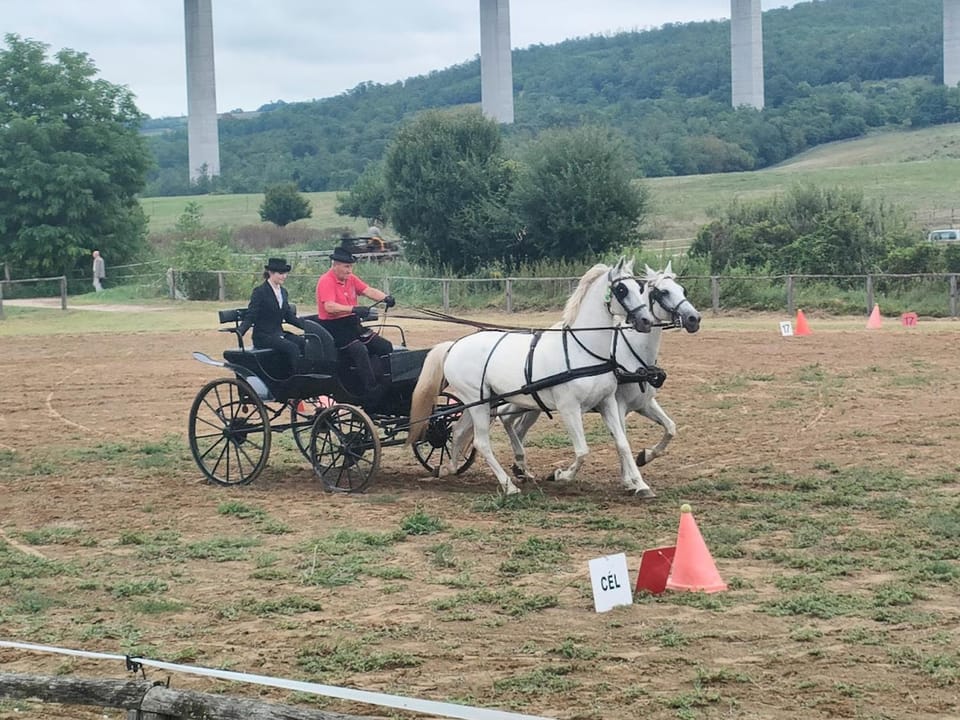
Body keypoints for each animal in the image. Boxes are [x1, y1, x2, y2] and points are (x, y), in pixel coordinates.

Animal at [407, 257, 658, 496]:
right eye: (622, 289)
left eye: (640, 287)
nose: (646, 321)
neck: (582, 350)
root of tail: (454, 346)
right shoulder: (569, 408)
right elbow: (582, 451)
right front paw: (560, 475)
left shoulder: (607, 402)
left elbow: (622, 443)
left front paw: (641, 485)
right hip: (476, 402)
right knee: (481, 442)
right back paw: (508, 486)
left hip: (480, 402)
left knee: (458, 432)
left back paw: (448, 469)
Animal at [500, 261, 701, 482]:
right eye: (663, 292)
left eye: (682, 289)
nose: (694, 318)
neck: (632, 354)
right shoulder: (618, 404)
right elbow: (621, 438)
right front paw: (630, 477)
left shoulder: (644, 403)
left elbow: (670, 428)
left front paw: (644, 457)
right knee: (506, 419)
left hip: (533, 405)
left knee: (514, 425)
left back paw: (520, 468)